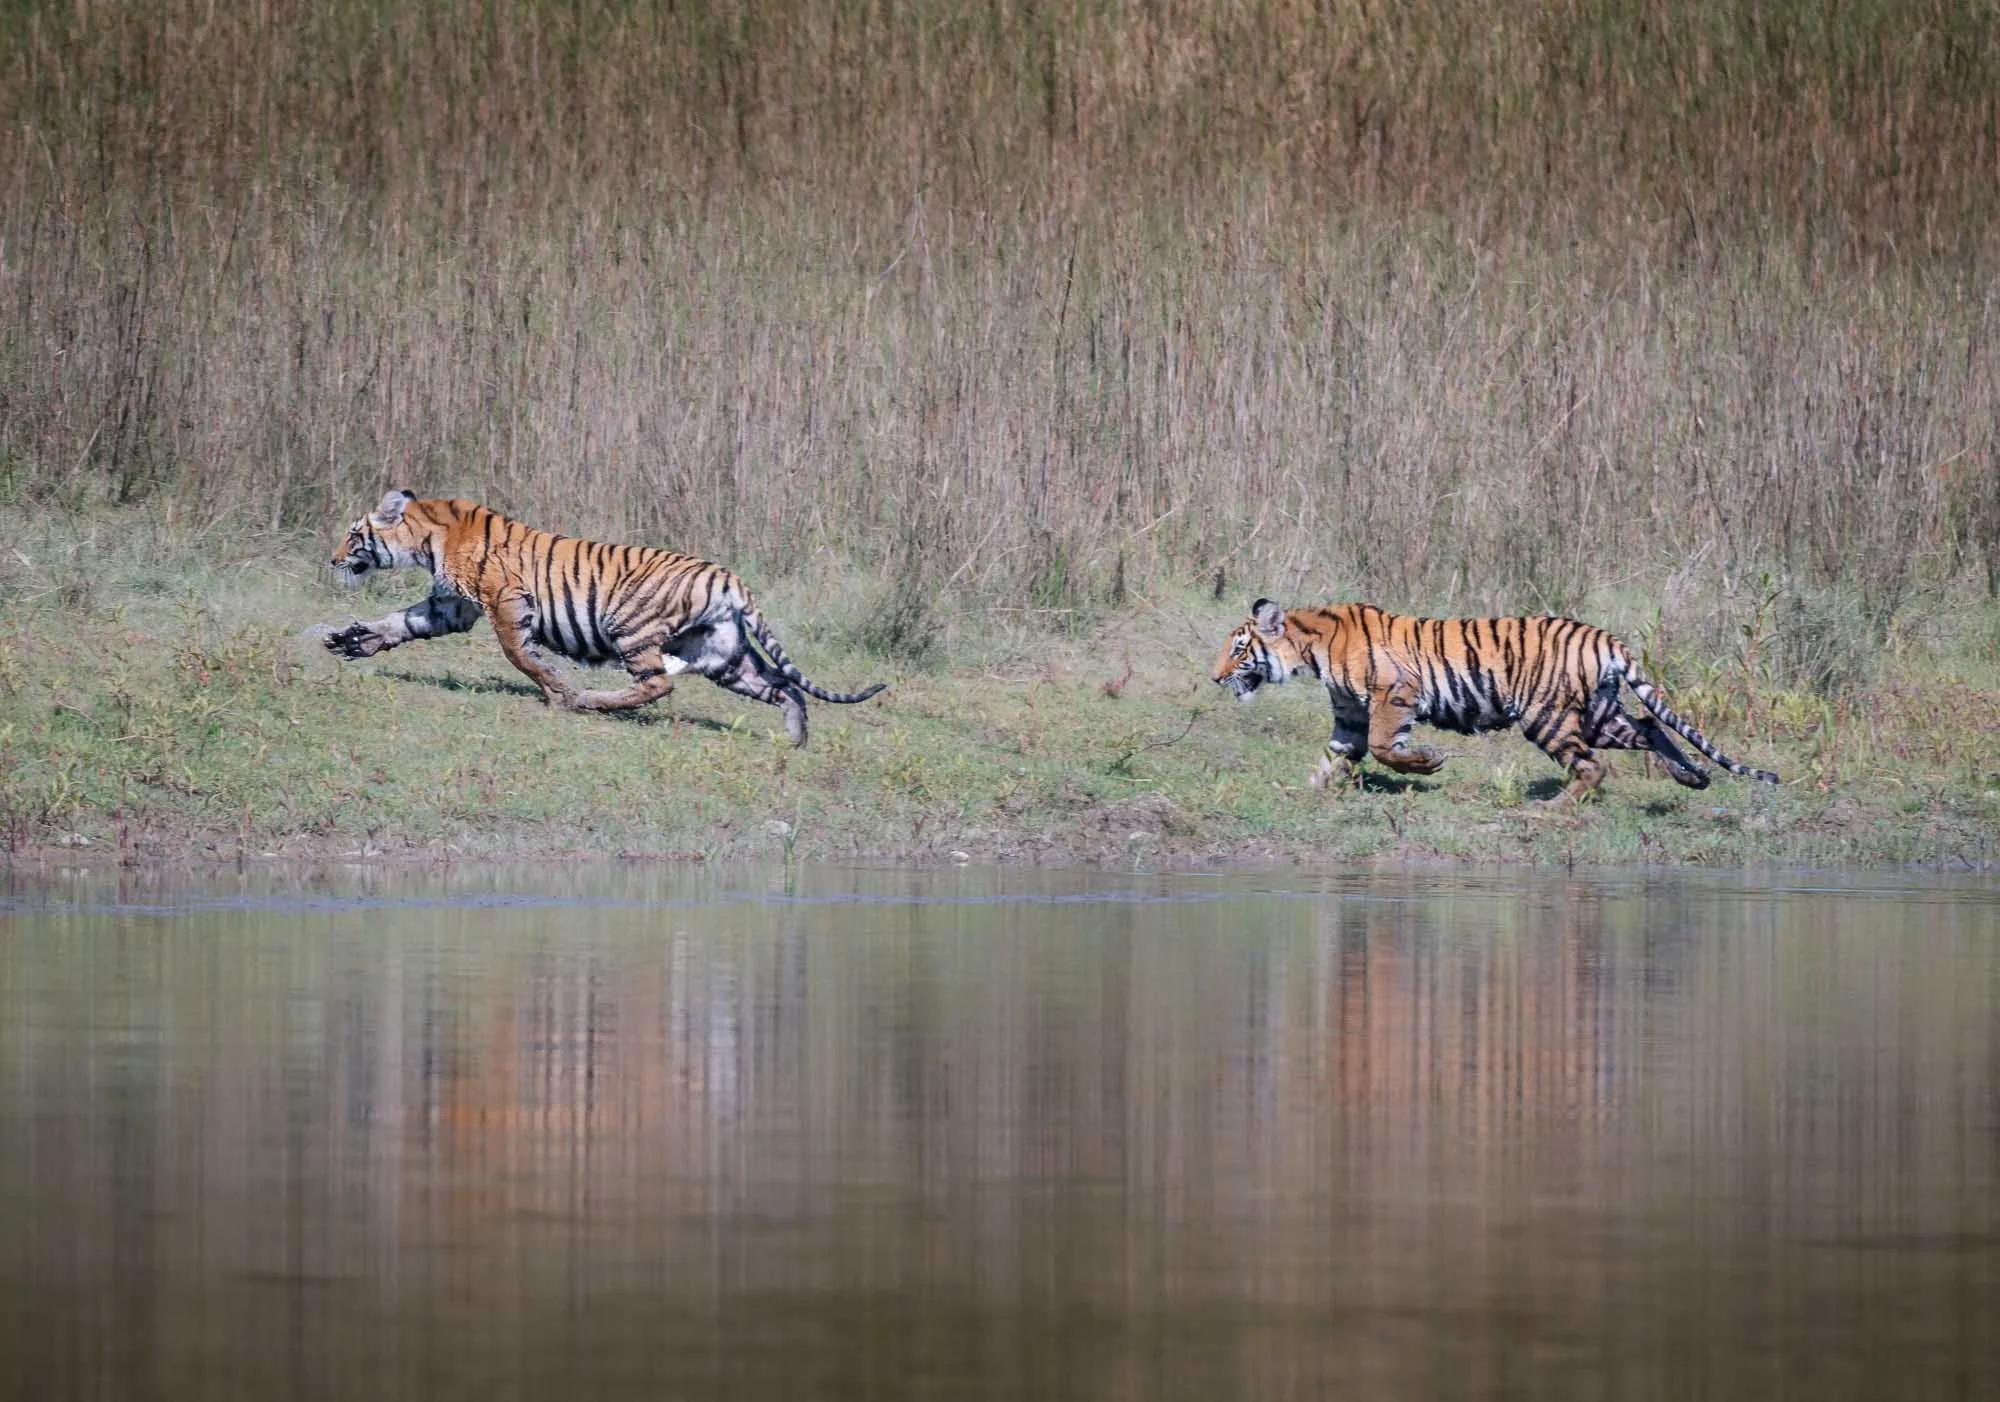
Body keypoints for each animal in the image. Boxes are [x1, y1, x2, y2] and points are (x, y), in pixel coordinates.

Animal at [321, 491, 884, 746]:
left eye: (352, 535)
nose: (331, 559)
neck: (427, 538)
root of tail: (731, 580)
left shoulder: (504, 600)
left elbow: (519, 654)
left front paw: (556, 689)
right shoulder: (450, 605)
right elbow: (400, 622)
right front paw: (352, 641)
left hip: (631, 628)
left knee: (658, 685)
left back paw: (589, 701)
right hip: (722, 655)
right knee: (782, 688)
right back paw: (796, 739)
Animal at [1212, 598, 1779, 800]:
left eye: (1238, 649)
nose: (1215, 678)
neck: (1311, 649)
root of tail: (1605, 638)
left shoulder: (1395, 694)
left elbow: (1384, 747)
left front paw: (1429, 763)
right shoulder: (1349, 716)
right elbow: (1335, 756)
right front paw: (1304, 791)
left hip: (1547, 716)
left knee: (1592, 767)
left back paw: (1551, 809)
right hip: (1597, 714)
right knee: (1650, 726)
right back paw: (1691, 777)